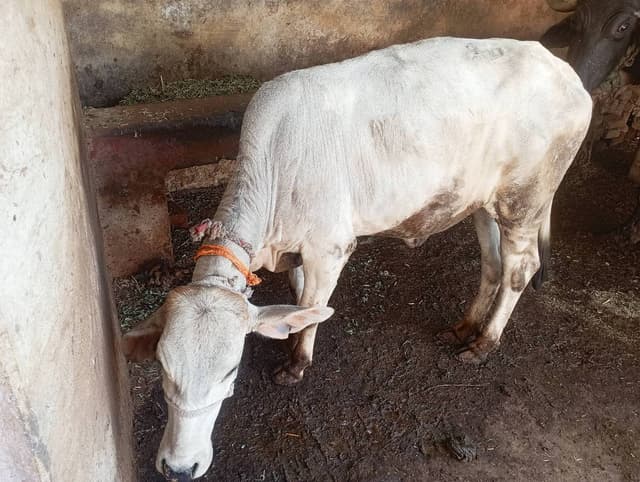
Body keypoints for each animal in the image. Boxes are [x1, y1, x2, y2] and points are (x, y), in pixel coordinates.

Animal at [122, 37, 592, 479]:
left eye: (230, 372)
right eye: (162, 367)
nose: (180, 468)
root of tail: (563, 70)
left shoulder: (329, 248)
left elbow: (314, 306)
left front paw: (296, 365)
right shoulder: (298, 252)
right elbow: (299, 301)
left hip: (525, 201)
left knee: (519, 270)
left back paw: (484, 343)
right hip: (481, 202)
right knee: (492, 264)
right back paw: (463, 327)